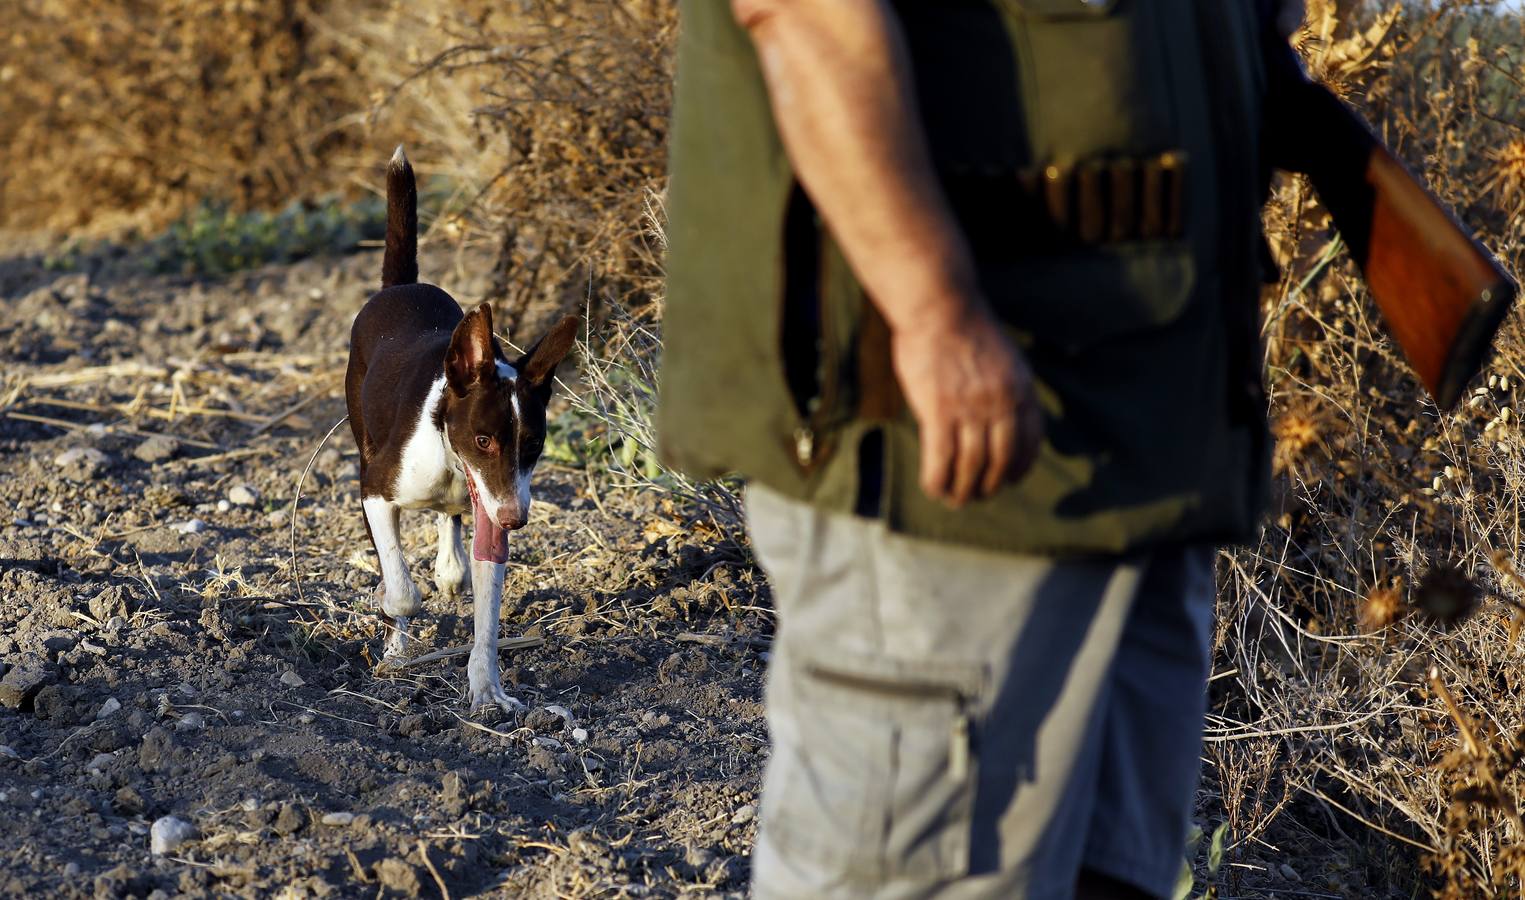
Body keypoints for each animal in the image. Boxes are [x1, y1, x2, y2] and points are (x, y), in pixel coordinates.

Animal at [346, 146, 576, 713]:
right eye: (483, 440)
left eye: (534, 445)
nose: (516, 519)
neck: (450, 462)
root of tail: (400, 285)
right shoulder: (374, 492)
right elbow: (402, 591)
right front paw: (391, 620)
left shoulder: (491, 506)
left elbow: (487, 617)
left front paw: (487, 689)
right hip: (364, 442)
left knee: (449, 524)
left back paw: (450, 565)